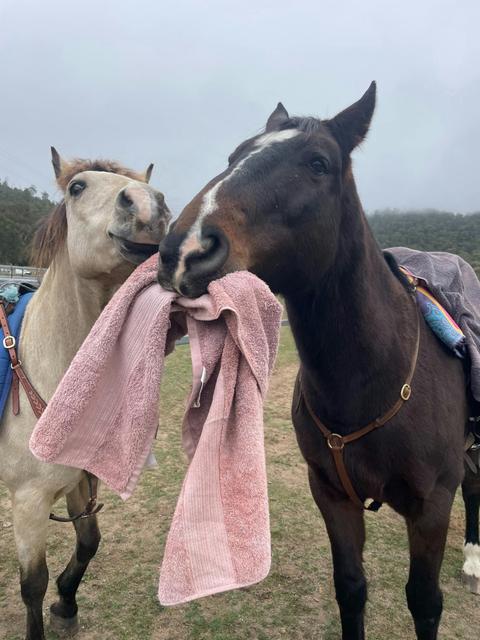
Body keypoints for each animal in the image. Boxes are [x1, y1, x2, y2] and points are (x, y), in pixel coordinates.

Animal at [0, 148, 170, 640]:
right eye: (77, 188)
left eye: (149, 191)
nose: (148, 206)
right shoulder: (30, 502)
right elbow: (31, 584)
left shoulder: (79, 479)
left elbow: (90, 541)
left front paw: (66, 602)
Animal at [157, 84, 480, 639]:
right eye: (234, 156)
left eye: (318, 163)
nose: (186, 249)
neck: (372, 380)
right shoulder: (331, 495)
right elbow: (350, 589)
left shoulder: (432, 506)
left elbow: (424, 601)